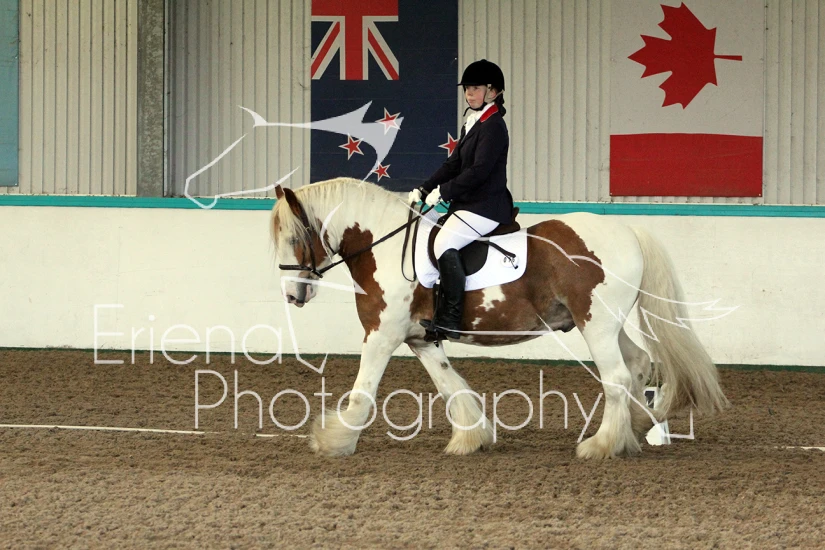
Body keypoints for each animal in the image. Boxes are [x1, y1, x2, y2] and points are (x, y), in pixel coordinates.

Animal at [270, 177, 728, 459]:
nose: (292, 295)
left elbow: (363, 391)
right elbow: (450, 385)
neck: (382, 247)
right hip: (606, 323)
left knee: (616, 376)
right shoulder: (421, 338)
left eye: (294, 237)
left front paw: (333, 440)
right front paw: (471, 437)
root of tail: (629, 231)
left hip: (595, 323)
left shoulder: (382, 335)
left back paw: (600, 445)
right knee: (637, 364)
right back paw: (633, 428)